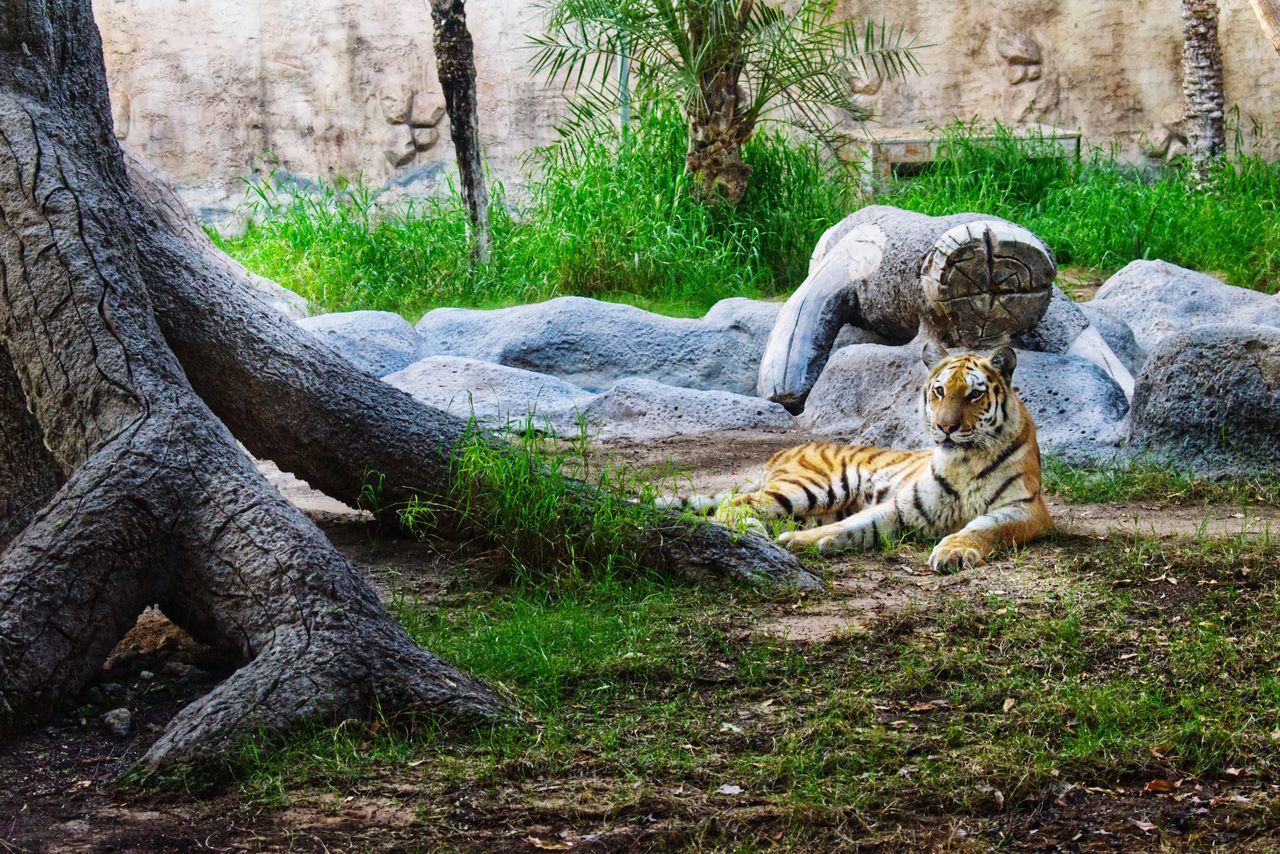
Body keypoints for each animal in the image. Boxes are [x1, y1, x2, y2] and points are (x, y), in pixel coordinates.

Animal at [660, 343, 1049, 573]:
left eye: (973, 395)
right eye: (939, 391)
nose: (946, 427)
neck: (964, 461)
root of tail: (784, 451)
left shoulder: (1025, 510)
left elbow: (982, 528)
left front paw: (952, 551)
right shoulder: (903, 504)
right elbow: (858, 523)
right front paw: (802, 543)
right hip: (814, 486)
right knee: (737, 503)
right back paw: (756, 529)